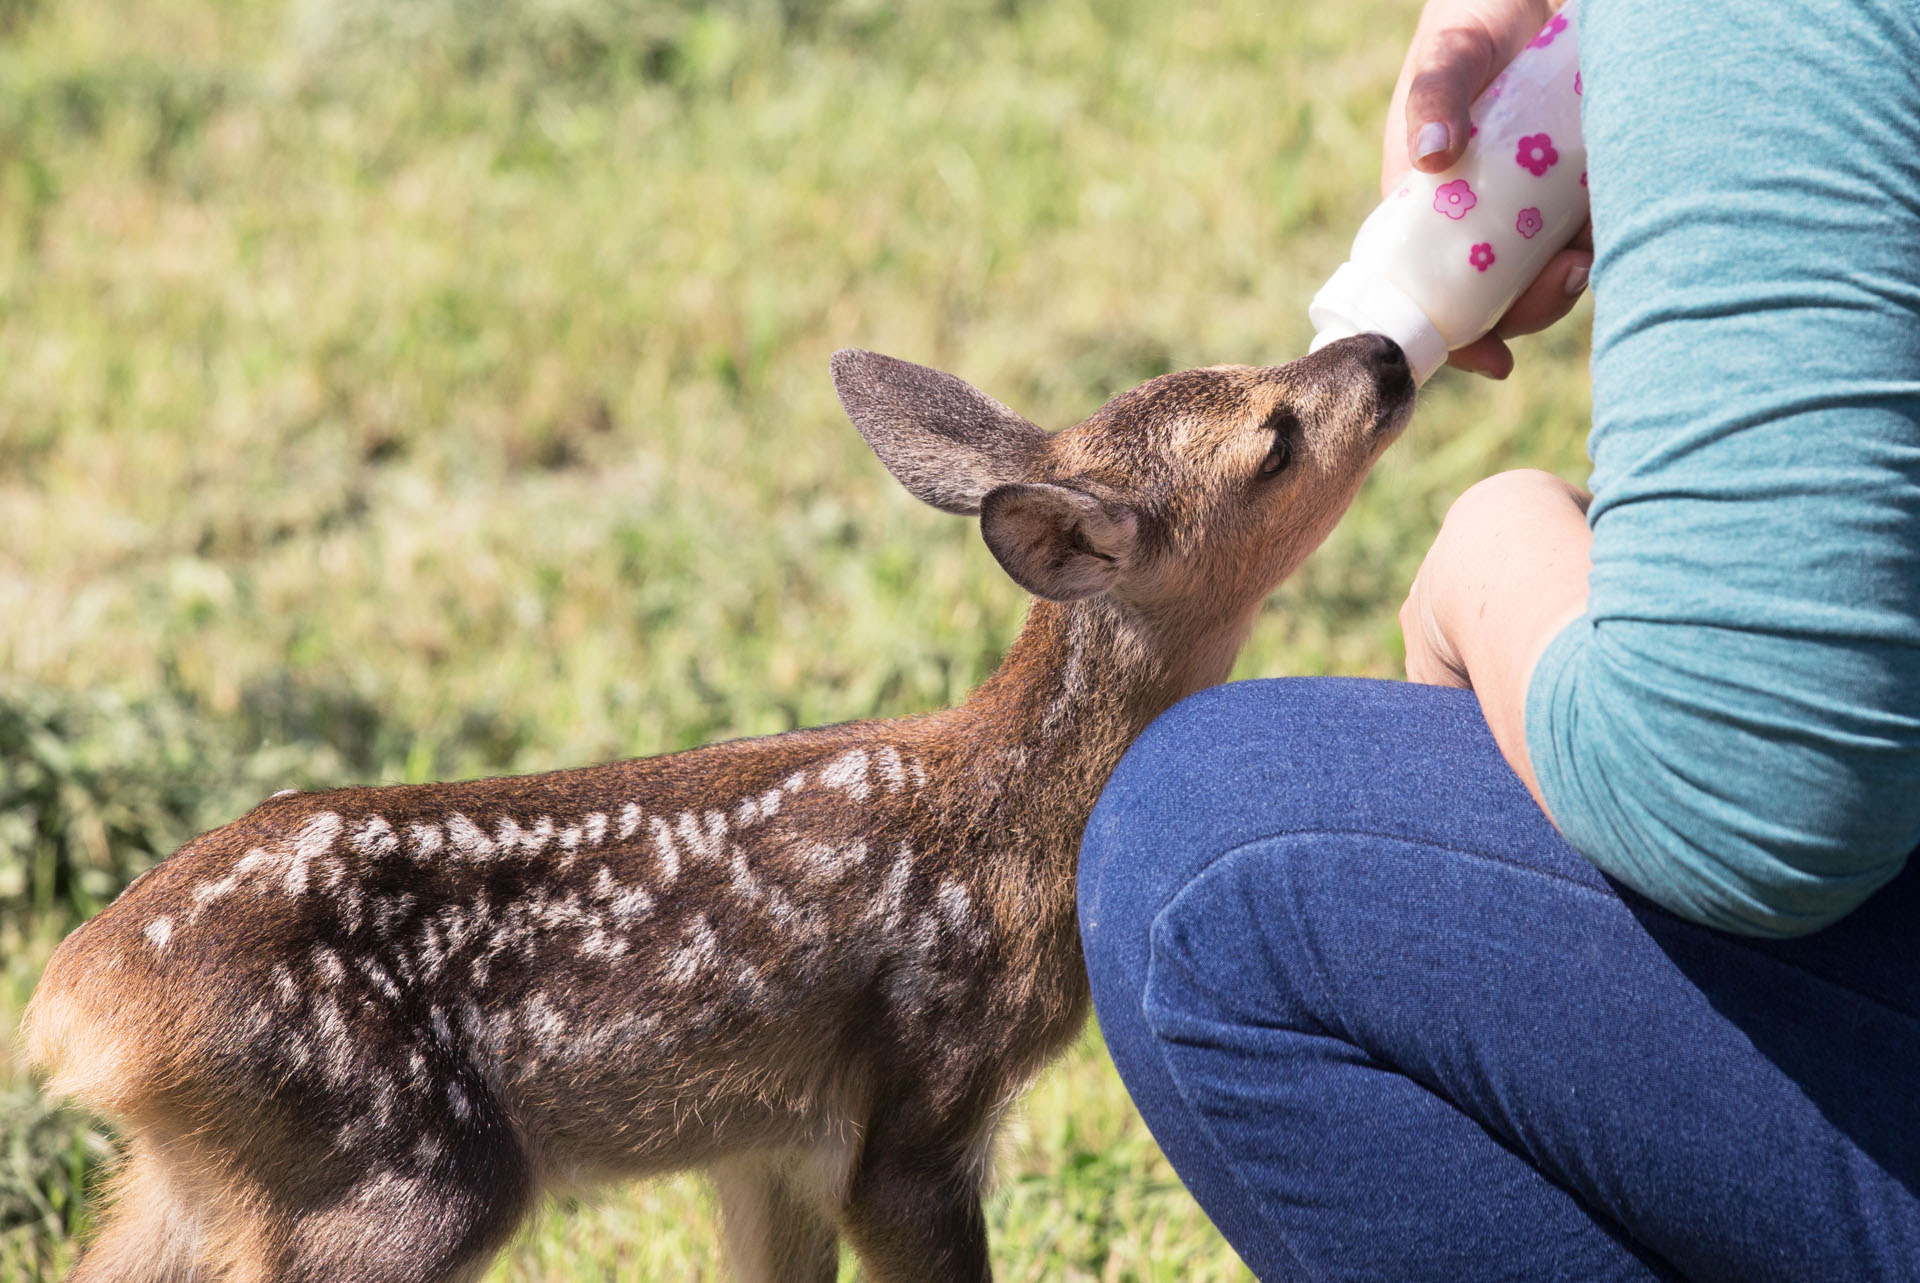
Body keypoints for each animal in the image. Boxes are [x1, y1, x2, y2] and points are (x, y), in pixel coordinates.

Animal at [22, 334, 1420, 1283]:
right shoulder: (926, 1089)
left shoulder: (768, 1139)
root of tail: (73, 1012)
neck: (1022, 822)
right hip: (393, 1171)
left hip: (191, 1186)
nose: (1387, 352)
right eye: (1274, 438)